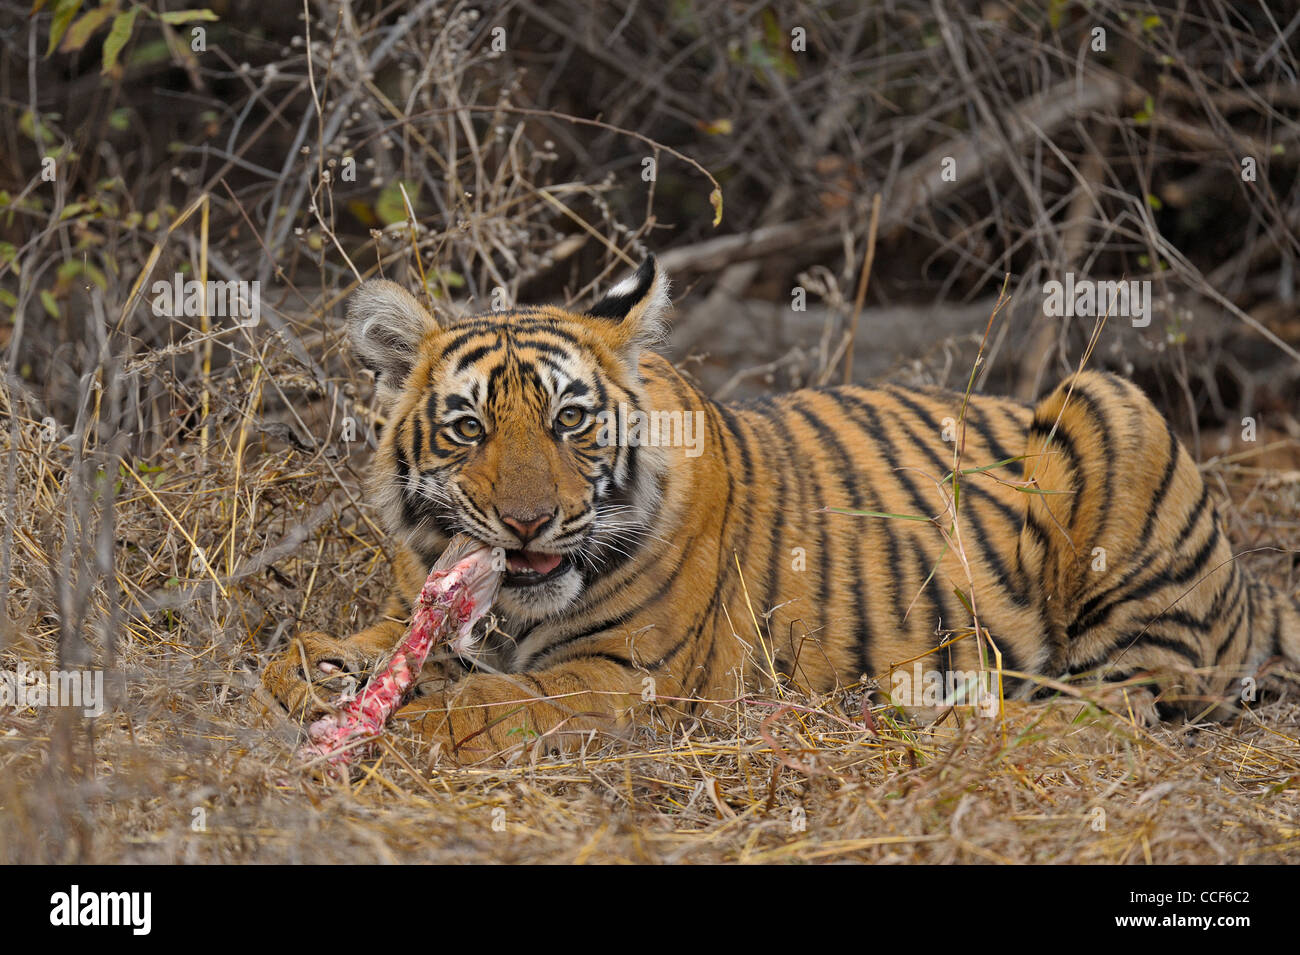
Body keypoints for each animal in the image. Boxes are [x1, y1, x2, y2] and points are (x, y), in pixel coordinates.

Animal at [261, 255, 1300, 764]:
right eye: (469, 428)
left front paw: (392, 728)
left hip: (1110, 406)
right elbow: (324, 650)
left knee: (1129, 700)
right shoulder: (429, 610)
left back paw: (948, 720)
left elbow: (490, 700)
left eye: (570, 421)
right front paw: (319, 674)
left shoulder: (624, 677)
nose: (526, 524)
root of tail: (1251, 588)